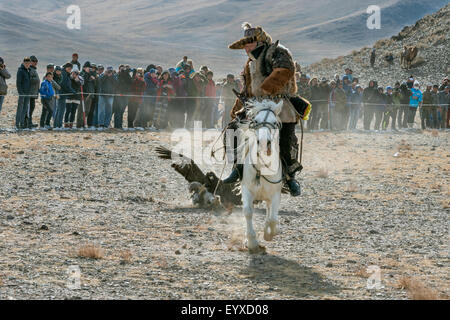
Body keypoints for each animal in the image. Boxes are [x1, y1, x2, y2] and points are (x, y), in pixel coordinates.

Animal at [237, 99, 284, 254]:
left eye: (275, 122)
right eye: (256, 121)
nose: (264, 143)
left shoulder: (276, 193)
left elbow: (273, 218)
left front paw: (268, 234)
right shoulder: (246, 189)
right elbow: (247, 212)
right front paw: (251, 242)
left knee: (270, 211)